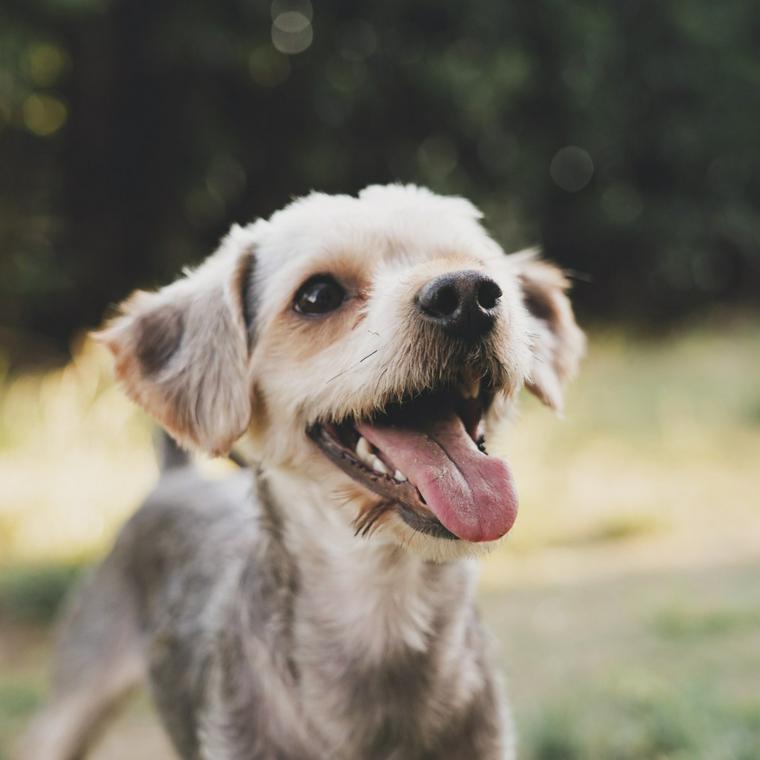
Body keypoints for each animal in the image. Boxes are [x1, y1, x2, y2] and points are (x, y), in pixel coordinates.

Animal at [20, 184, 584, 760]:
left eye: (481, 267)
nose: (468, 294)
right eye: (317, 296)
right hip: (74, 694)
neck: (383, 599)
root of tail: (175, 479)